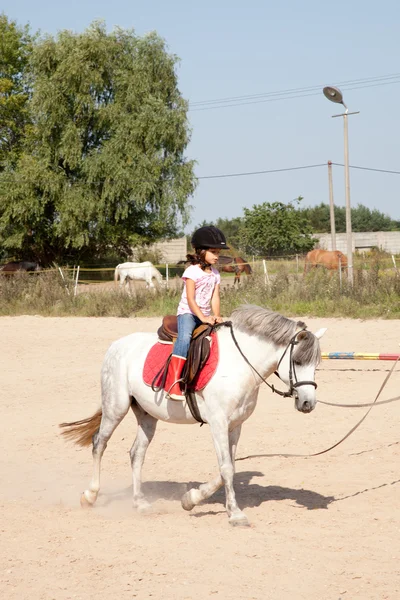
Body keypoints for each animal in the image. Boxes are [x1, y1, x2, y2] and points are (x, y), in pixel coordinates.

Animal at [61, 304, 326, 524]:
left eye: (316, 364)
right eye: (297, 361)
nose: (307, 403)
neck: (240, 365)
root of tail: (117, 345)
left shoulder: (235, 425)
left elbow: (228, 468)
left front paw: (191, 499)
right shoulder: (218, 423)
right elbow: (226, 469)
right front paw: (235, 514)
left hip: (146, 414)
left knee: (136, 454)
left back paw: (140, 503)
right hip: (116, 406)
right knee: (99, 443)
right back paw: (90, 495)